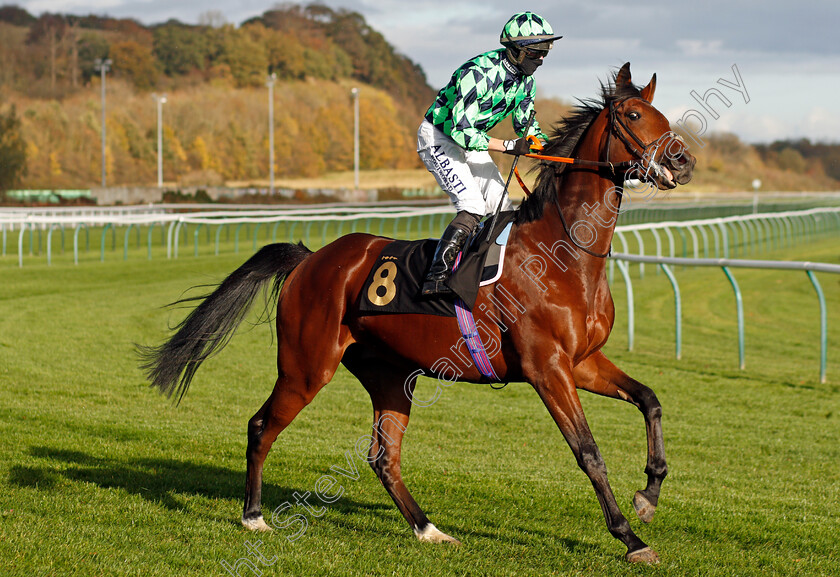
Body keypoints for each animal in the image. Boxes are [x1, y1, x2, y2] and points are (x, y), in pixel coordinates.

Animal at [141, 64, 696, 564]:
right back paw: (254, 516)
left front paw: (648, 496)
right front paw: (630, 538)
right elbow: (588, 452)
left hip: (389, 374)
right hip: (306, 365)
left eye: (662, 115)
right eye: (633, 114)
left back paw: (429, 529)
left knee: (384, 457)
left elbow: (650, 400)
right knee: (262, 427)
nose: (683, 160)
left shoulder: (582, 362)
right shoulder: (547, 368)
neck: (562, 254)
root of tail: (311, 258)